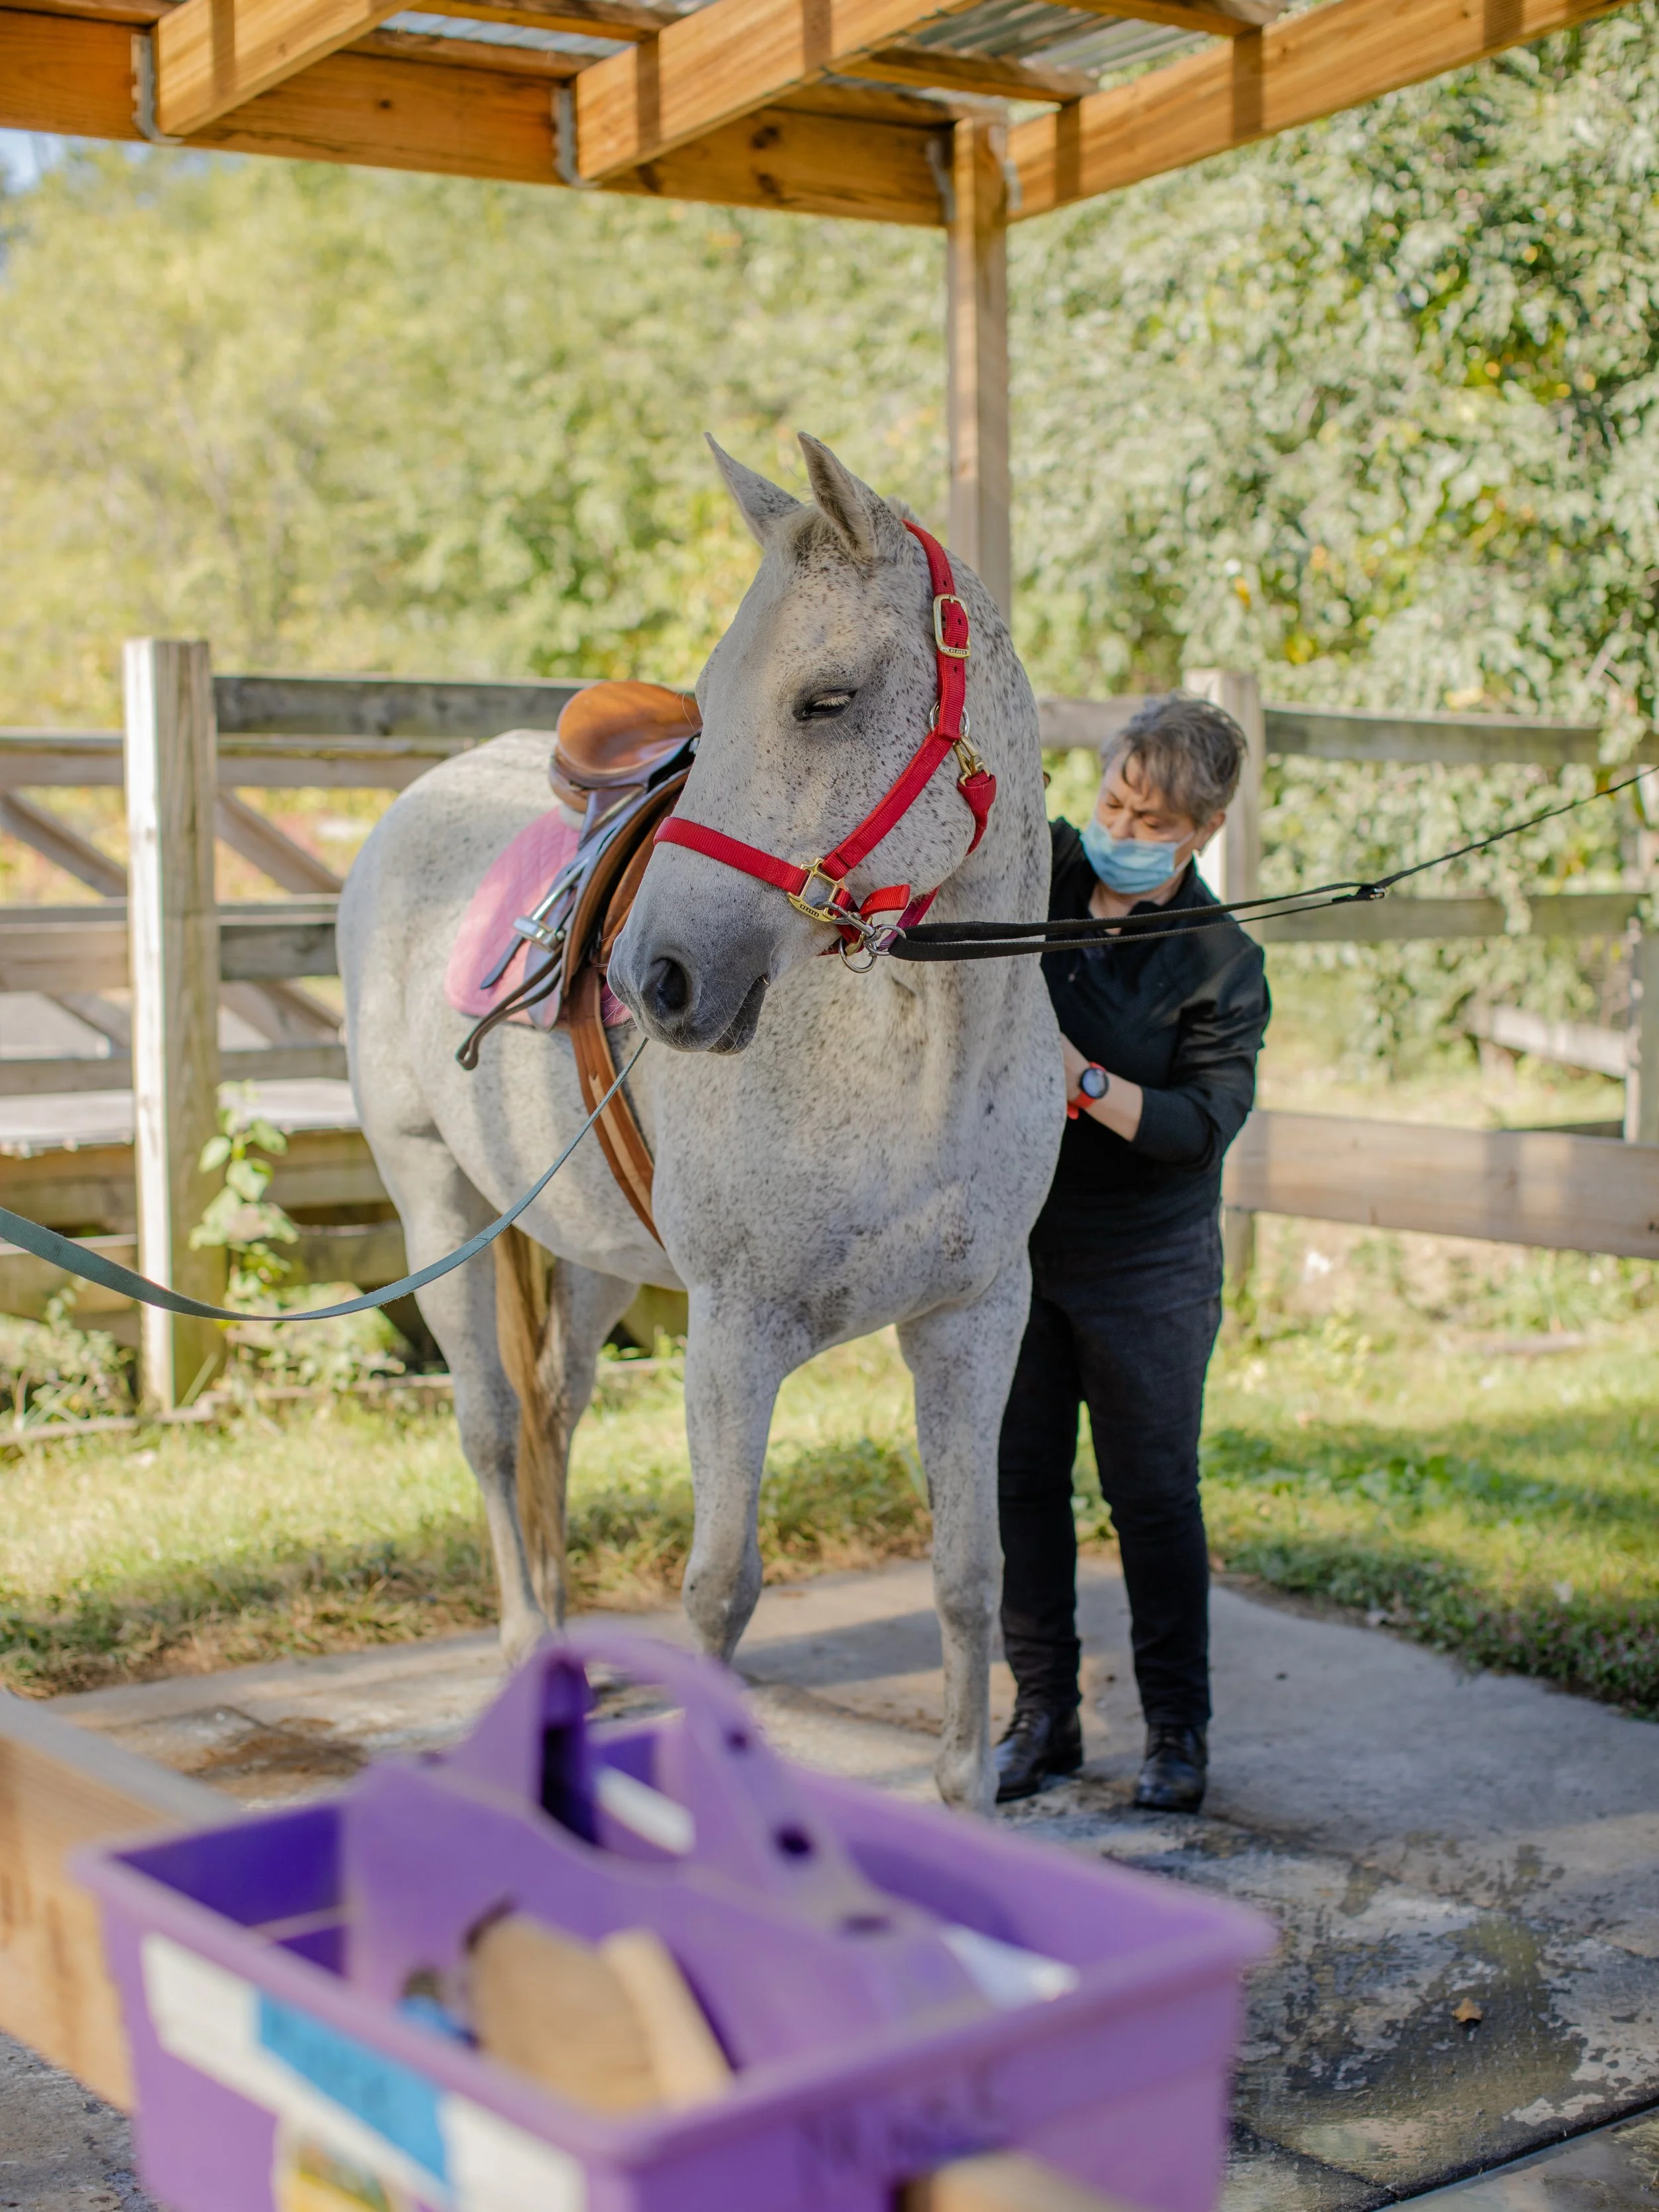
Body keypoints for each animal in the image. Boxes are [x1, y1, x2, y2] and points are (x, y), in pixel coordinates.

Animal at [337, 434, 1062, 1809]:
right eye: (709, 707)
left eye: (826, 700)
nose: (653, 978)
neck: (914, 1071)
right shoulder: (735, 1334)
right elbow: (720, 1588)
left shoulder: (974, 1321)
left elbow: (971, 1573)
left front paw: (967, 1794)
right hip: (433, 1203)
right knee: (494, 1428)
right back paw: (522, 1644)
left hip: (590, 1252)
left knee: (554, 1408)